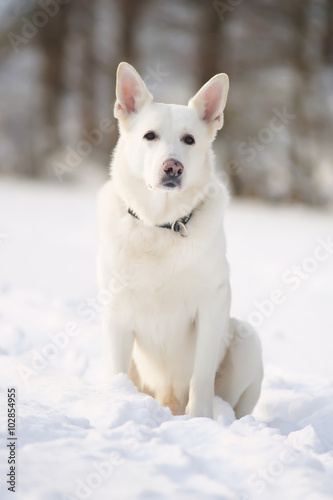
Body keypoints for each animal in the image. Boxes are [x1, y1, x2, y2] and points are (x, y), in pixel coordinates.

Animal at [97, 62, 264, 418]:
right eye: (150, 136)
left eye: (189, 140)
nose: (173, 166)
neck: (160, 226)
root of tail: (167, 400)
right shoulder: (116, 312)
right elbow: (118, 371)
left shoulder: (211, 307)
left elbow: (201, 378)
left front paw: (200, 420)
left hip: (247, 341)